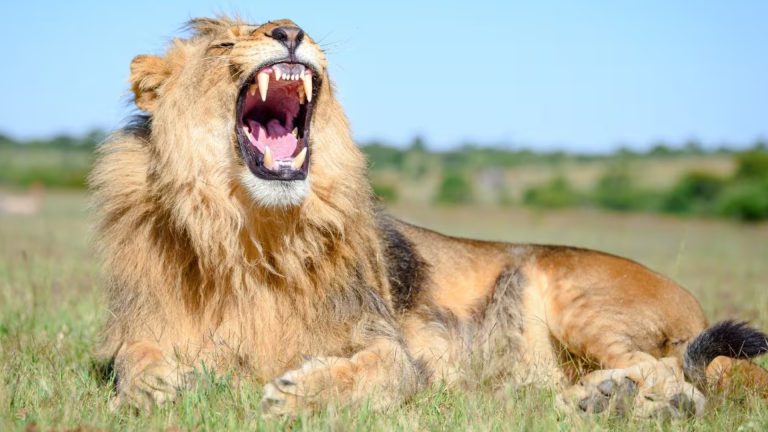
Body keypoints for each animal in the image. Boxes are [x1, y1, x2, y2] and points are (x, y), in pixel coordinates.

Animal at [90, 16, 768, 418]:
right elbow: (129, 356)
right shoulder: (143, 320)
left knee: (677, 374)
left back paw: (611, 398)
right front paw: (151, 387)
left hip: (574, 293)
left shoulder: (390, 344)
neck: (253, 233)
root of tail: (691, 303)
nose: (290, 30)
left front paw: (298, 395)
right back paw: (599, 399)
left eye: (283, 27)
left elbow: (379, 373)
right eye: (224, 44)